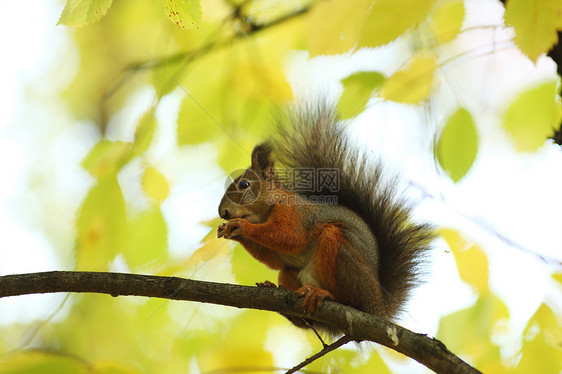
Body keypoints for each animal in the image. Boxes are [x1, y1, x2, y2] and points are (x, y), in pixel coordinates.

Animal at [217, 102, 430, 330]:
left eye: (244, 184)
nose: (222, 212)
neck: (265, 213)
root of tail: (378, 308)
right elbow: (272, 258)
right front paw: (231, 231)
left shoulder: (295, 213)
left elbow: (287, 236)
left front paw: (241, 226)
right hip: (290, 274)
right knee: (305, 317)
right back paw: (283, 300)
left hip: (343, 254)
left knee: (350, 300)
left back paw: (325, 295)